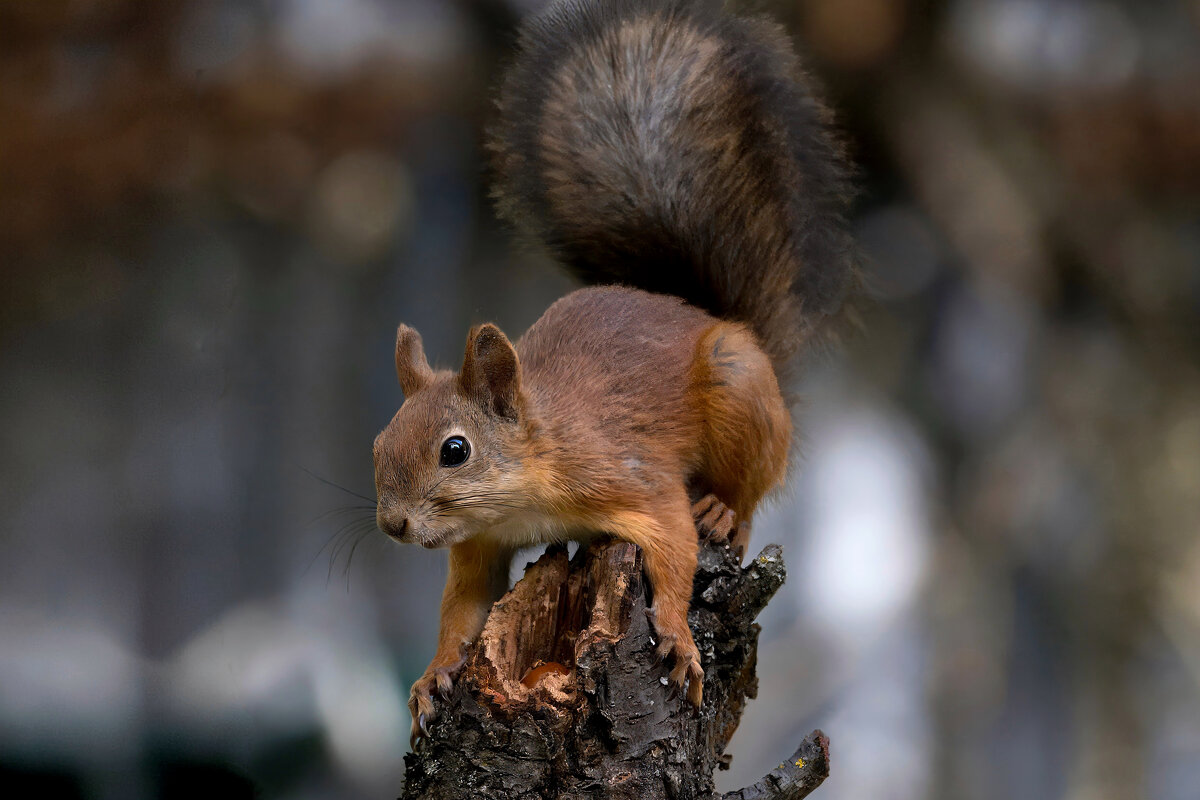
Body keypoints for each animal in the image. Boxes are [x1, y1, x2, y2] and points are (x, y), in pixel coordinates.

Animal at [372, 0, 854, 743]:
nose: (393, 524)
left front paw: (680, 638)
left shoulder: (629, 476)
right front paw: (433, 675)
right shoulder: (479, 546)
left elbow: (675, 545)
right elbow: (463, 611)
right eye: (378, 444)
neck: (530, 481)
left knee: (748, 490)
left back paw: (724, 509)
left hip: (738, 383)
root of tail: (706, 316)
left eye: (455, 450)